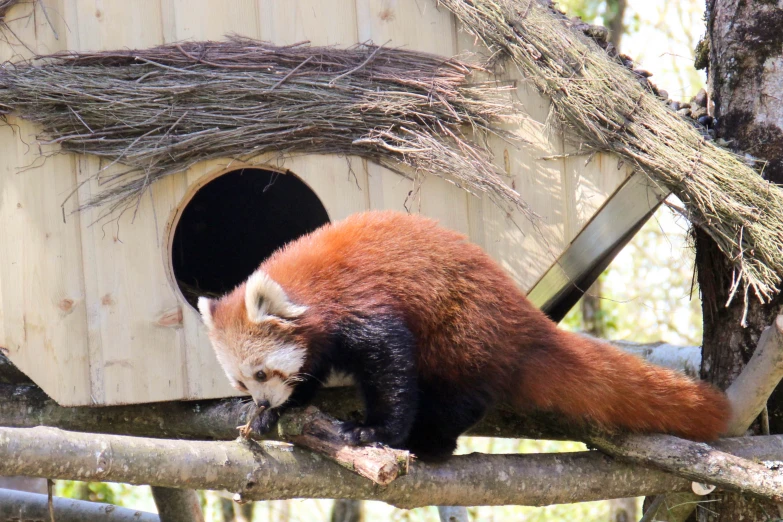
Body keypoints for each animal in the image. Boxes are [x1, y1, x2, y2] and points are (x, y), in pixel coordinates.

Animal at [199, 207, 732, 460]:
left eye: (261, 372)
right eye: (243, 382)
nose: (262, 401)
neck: (313, 285)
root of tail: (523, 316)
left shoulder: (365, 303)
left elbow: (390, 365)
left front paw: (373, 431)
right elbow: (311, 369)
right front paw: (275, 413)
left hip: (462, 334)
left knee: (458, 396)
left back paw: (430, 441)